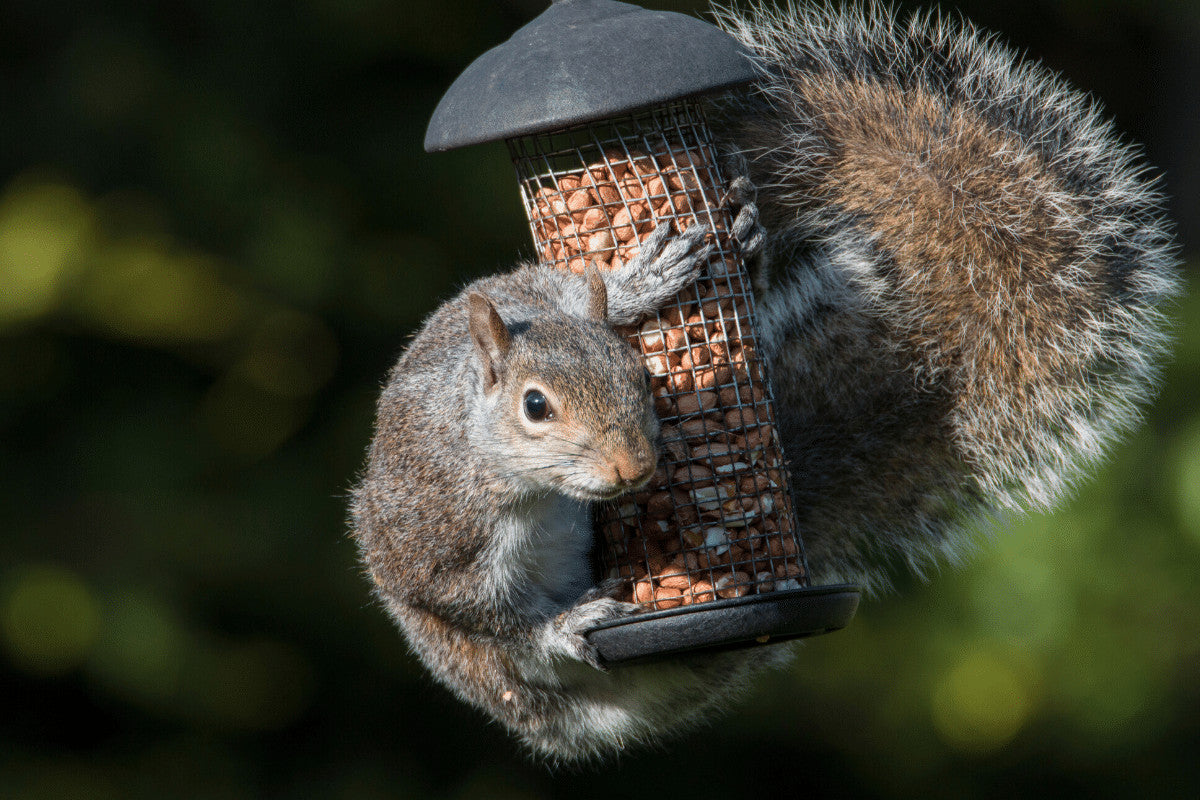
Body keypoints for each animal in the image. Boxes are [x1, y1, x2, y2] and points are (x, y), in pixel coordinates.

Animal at [351, 2, 1180, 764]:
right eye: (534, 407)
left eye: (637, 377)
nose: (633, 468)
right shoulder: (439, 544)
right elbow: (494, 618)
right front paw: (565, 624)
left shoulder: (526, 291)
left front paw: (643, 283)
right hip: (483, 671)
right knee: (515, 662)